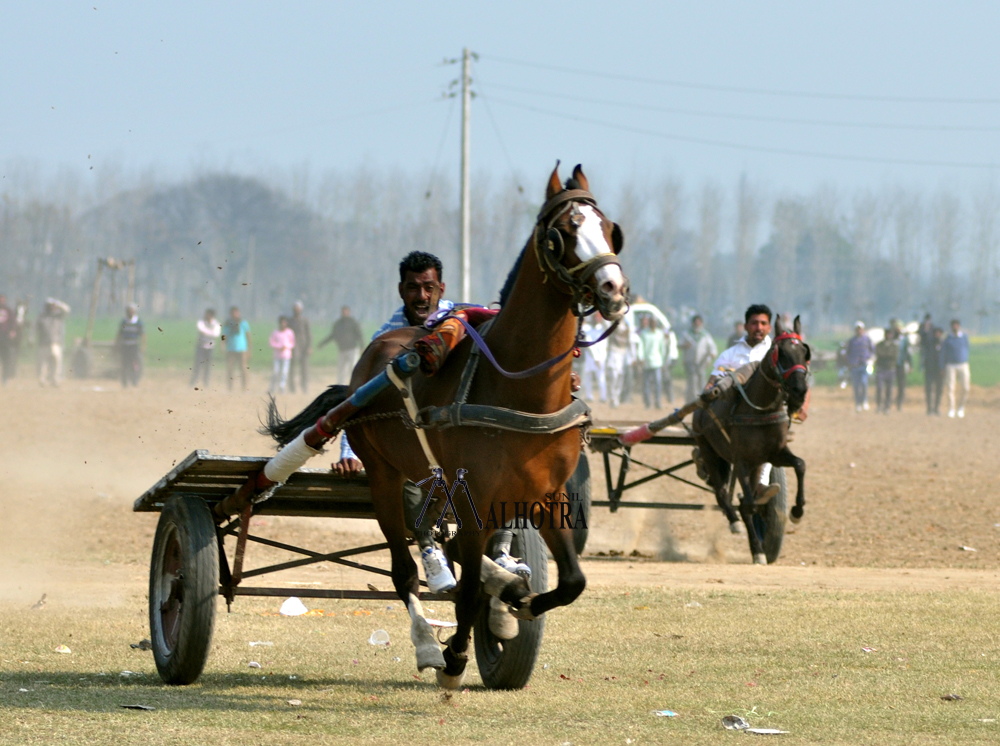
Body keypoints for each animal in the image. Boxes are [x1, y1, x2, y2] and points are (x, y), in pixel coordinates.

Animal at [264, 164, 624, 684]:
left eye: (610, 228)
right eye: (564, 233)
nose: (614, 289)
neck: (517, 386)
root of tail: (374, 356)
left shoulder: (546, 493)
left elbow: (572, 580)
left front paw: (516, 601)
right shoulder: (475, 498)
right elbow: (468, 589)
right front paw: (455, 654)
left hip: (436, 478)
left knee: (434, 529)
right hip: (384, 475)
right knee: (404, 568)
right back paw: (427, 641)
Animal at [696, 314, 812, 564]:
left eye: (804, 352)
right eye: (781, 353)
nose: (799, 390)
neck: (759, 410)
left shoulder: (774, 453)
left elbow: (800, 464)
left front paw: (797, 511)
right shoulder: (740, 459)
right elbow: (747, 505)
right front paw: (757, 549)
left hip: (755, 463)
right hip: (709, 450)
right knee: (722, 493)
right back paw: (734, 521)